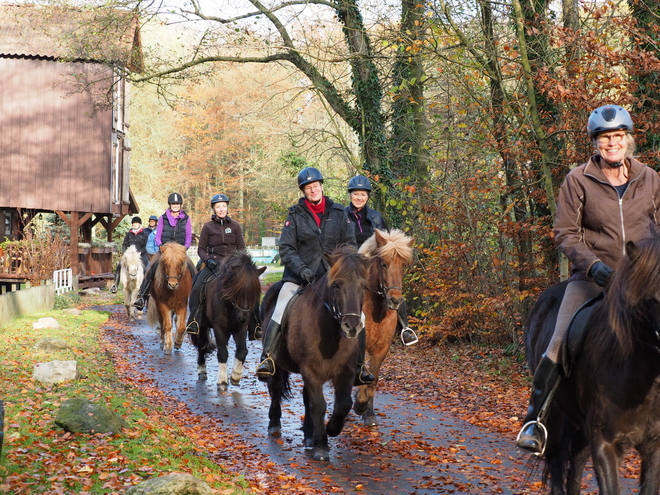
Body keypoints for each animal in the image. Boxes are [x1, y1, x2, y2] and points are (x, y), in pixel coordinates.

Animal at [191, 252, 266, 392]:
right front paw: (222, 381)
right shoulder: (218, 327)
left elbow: (242, 351)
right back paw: (202, 370)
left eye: (254, 292)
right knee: (201, 346)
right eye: (237, 290)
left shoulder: (240, 327)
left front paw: (235, 376)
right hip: (202, 326)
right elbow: (222, 353)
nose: (243, 317)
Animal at [262, 246, 372, 464]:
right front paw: (322, 446)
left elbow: (343, 404)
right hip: (277, 364)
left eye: (363, 286)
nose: (352, 327)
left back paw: (308, 435)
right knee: (276, 389)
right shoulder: (310, 370)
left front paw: (332, 429)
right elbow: (319, 405)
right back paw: (274, 424)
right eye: (336, 285)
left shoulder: (345, 372)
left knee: (306, 398)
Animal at [350, 229, 412, 426]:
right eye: (384, 264)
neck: (376, 311)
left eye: (404, 266)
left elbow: (373, 379)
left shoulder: (381, 348)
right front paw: (359, 404)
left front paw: (367, 411)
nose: (395, 300)